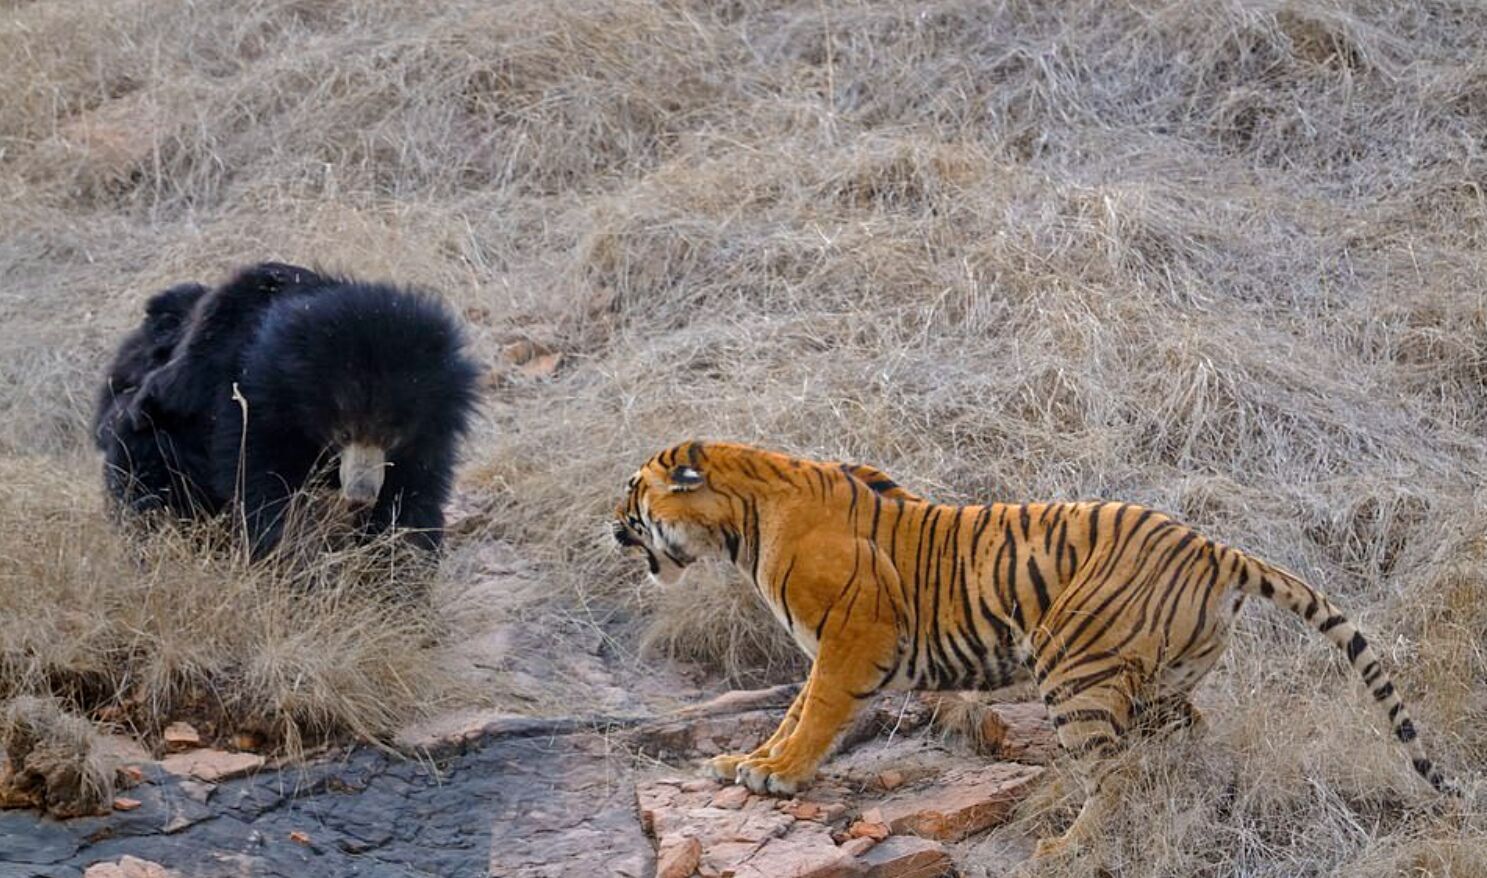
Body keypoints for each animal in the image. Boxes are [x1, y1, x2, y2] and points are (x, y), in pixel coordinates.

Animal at [95, 264, 478, 559]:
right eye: (343, 432)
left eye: (391, 436)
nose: (360, 496)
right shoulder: (253, 410)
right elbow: (266, 491)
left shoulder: (429, 436)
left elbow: (412, 498)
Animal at [609, 440, 1457, 863]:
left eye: (633, 493)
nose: (612, 528)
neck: (741, 523)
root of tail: (1215, 547)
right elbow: (790, 714)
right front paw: (745, 763)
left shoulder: (853, 642)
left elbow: (813, 714)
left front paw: (776, 775)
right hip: (1158, 684)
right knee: (1184, 743)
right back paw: (1189, 803)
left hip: (1073, 671)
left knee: (1111, 775)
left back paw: (1066, 846)